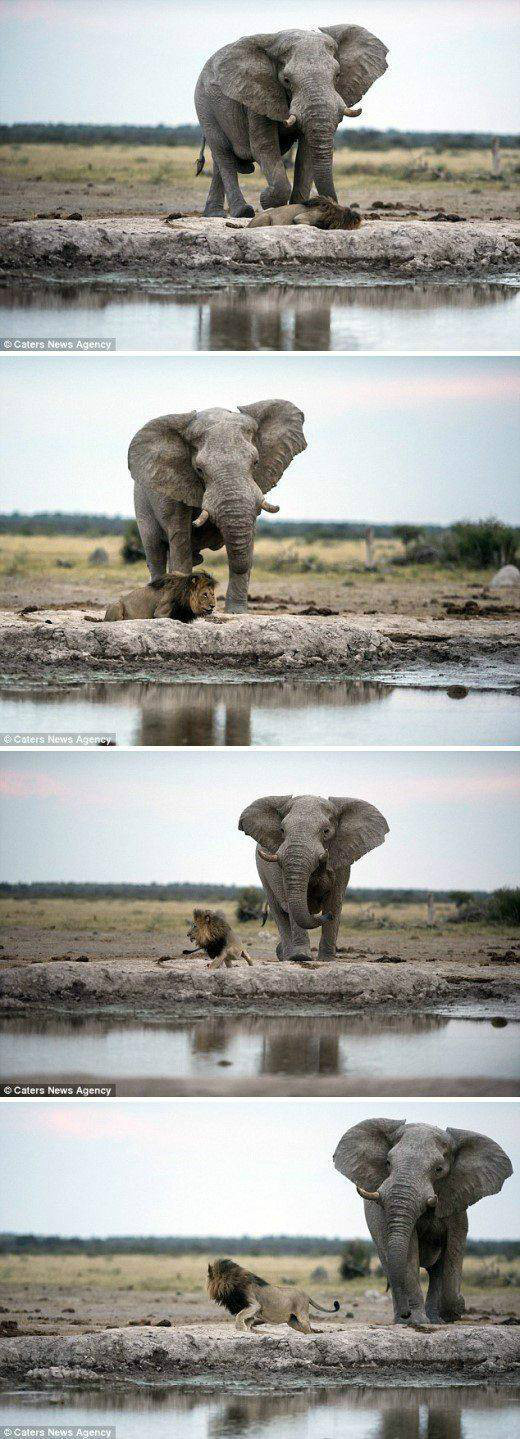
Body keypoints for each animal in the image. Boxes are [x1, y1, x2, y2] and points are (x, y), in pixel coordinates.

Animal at [126, 400, 303, 613]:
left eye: (256, 462)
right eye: (199, 469)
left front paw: (237, 612)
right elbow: (180, 540)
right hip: (141, 501)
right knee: (154, 550)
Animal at [193, 24, 386, 215]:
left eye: (338, 75)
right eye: (286, 80)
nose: (334, 206)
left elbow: (306, 152)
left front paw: (299, 207)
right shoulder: (258, 95)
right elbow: (264, 147)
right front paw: (267, 198)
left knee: (220, 161)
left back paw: (214, 213)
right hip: (204, 106)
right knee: (223, 152)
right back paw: (242, 212)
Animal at [205, 1260, 339, 1335]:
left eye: (228, 1278)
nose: (225, 1286)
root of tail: (307, 1295)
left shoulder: (254, 1305)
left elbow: (240, 1315)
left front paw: (241, 1328)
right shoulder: (250, 1310)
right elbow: (247, 1320)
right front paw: (248, 1330)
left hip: (302, 1315)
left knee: (309, 1329)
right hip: (292, 1321)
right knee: (307, 1330)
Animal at [237, 794, 386, 961]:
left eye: (326, 831)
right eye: (282, 830)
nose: (328, 916)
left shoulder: (341, 861)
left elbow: (334, 902)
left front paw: (327, 959)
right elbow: (290, 902)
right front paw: (300, 957)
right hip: (262, 872)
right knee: (278, 910)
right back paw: (287, 956)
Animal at [332, 1116, 509, 1329]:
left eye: (438, 1169)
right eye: (388, 1162)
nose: (406, 1313)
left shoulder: (457, 1201)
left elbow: (453, 1249)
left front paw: (454, 1310)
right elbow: (409, 1252)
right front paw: (416, 1320)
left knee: (436, 1272)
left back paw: (436, 1320)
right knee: (392, 1266)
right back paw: (410, 1320)